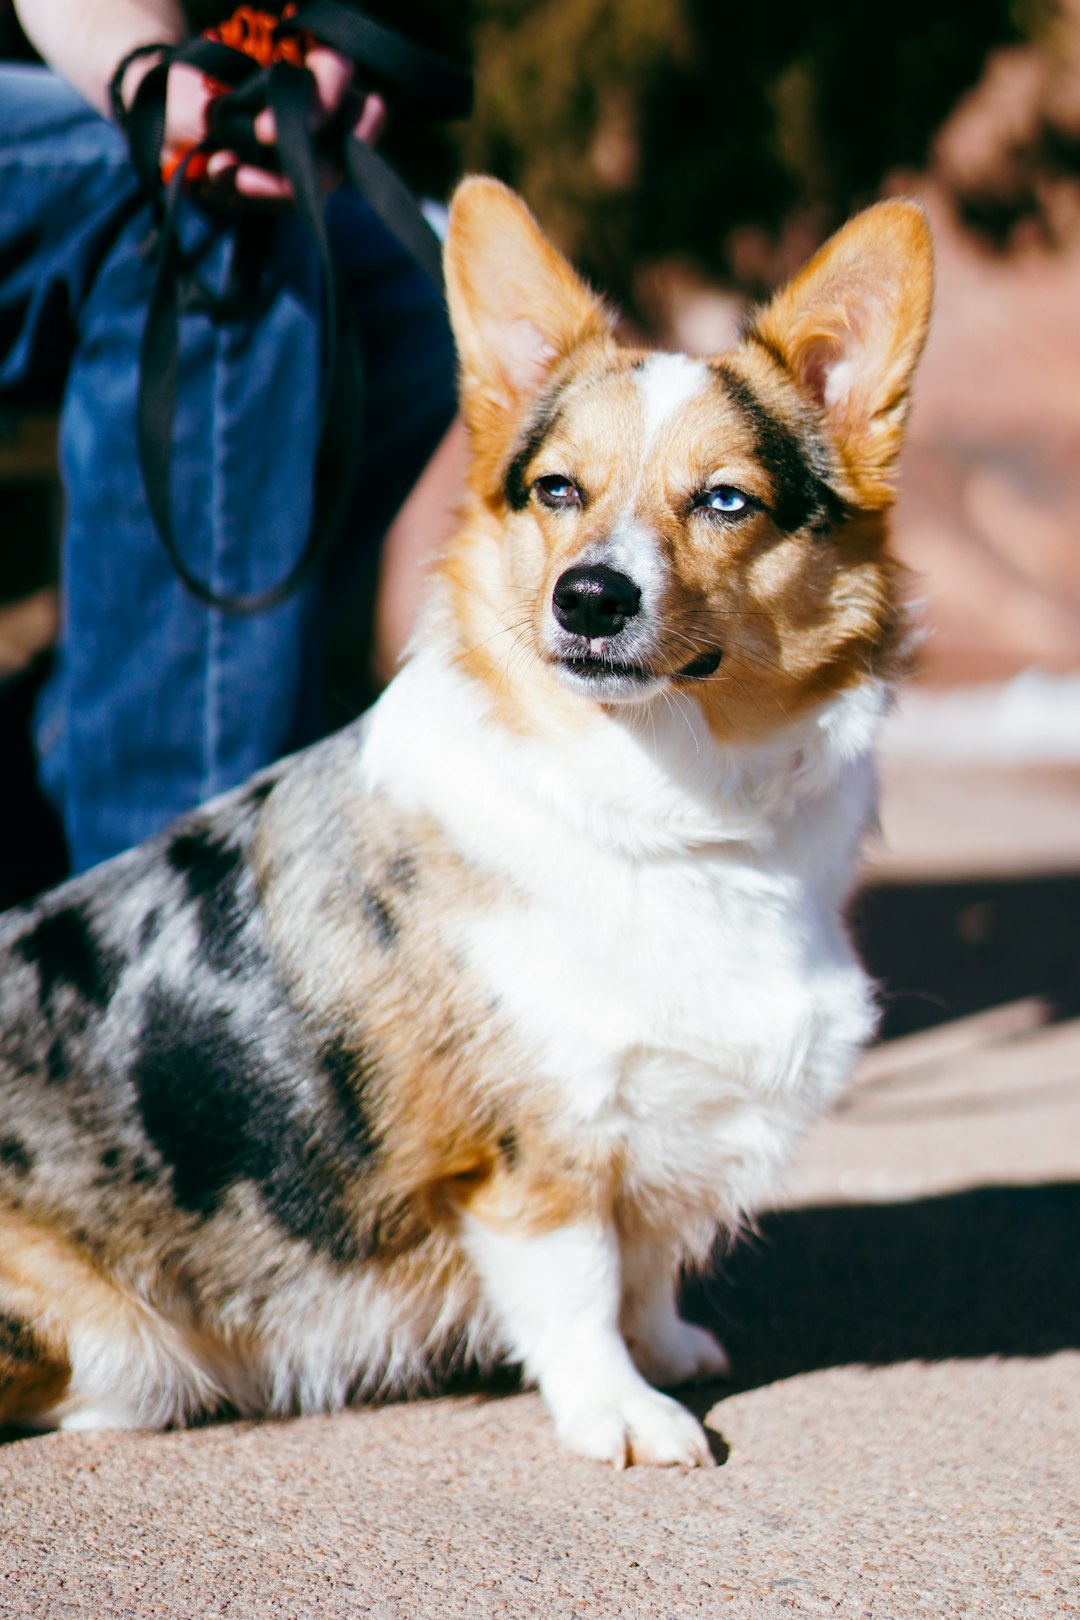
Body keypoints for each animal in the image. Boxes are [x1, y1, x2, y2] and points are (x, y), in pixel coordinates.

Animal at [0, 180, 932, 1470]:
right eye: (557, 490)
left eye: (725, 500)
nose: (589, 598)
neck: (666, 806)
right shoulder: (535, 1145)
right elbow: (582, 1284)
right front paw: (625, 1413)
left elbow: (646, 1267)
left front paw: (669, 1347)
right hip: (100, 1334)